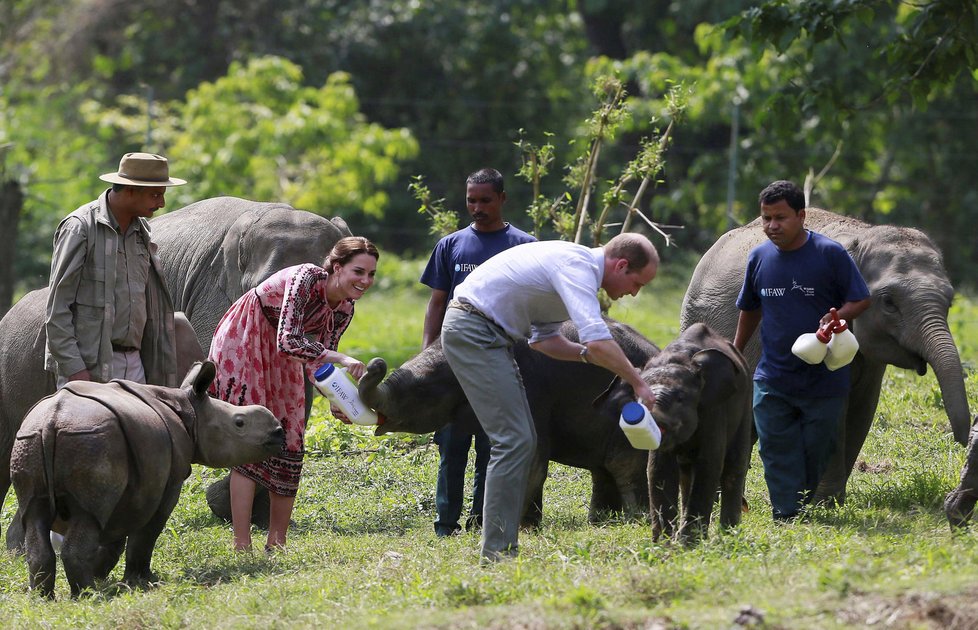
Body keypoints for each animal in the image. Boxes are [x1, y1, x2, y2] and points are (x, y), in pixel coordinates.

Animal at [9, 362, 282, 600]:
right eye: (239, 423)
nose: (279, 432)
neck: (191, 411)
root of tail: (52, 422)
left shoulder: (130, 488)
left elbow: (117, 533)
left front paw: (102, 575)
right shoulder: (169, 481)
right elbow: (148, 532)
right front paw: (144, 581)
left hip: (31, 440)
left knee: (34, 514)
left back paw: (44, 598)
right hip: (90, 439)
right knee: (88, 517)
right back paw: (87, 596)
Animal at [604, 326, 748, 544]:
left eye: (680, 398)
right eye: (638, 399)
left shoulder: (714, 410)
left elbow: (708, 465)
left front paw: (688, 544)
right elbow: (658, 469)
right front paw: (663, 544)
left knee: (733, 465)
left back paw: (729, 534)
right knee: (686, 475)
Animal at [680, 210, 968, 506]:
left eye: (950, 301)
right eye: (888, 302)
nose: (962, 440)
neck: (862, 235)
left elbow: (863, 408)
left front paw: (830, 501)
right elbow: (835, 410)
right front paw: (824, 503)